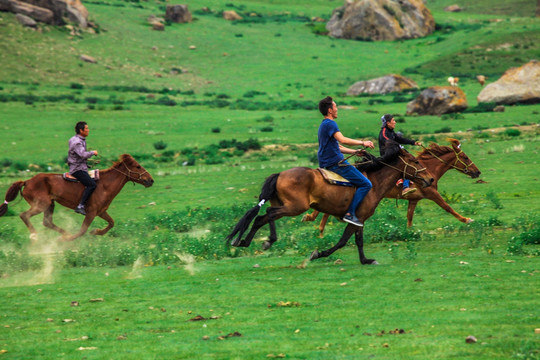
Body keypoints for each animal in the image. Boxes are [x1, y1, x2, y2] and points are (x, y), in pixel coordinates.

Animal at [0, 153, 153, 240]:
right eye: (137, 166)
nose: (150, 180)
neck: (104, 185)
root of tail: (27, 181)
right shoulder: (91, 212)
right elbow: (82, 230)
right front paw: (66, 240)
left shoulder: (101, 212)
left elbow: (111, 223)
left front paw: (96, 232)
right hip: (41, 204)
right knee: (24, 215)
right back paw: (36, 235)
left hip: (50, 204)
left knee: (47, 222)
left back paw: (64, 233)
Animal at [227, 143, 434, 264]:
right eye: (415, 161)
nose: (430, 179)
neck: (373, 183)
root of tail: (280, 174)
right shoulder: (357, 218)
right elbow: (344, 241)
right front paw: (319, 254)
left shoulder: (359, 219)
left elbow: (357, 240)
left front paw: (365, 260)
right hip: (294, 207)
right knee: (269, 212)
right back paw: (269, 240)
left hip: (286, 206)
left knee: (259, 218)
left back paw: (242, 241)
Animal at [302, 138, 484, 236]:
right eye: (465, 158)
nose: (477, 172)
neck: (430, 168)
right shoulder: (432, 193)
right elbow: (448, 207)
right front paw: (466, 219)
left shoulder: (414, 200)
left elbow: (409, 217)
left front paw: (409, 232)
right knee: (326, 212)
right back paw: (317, 226)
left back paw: (315, 224)